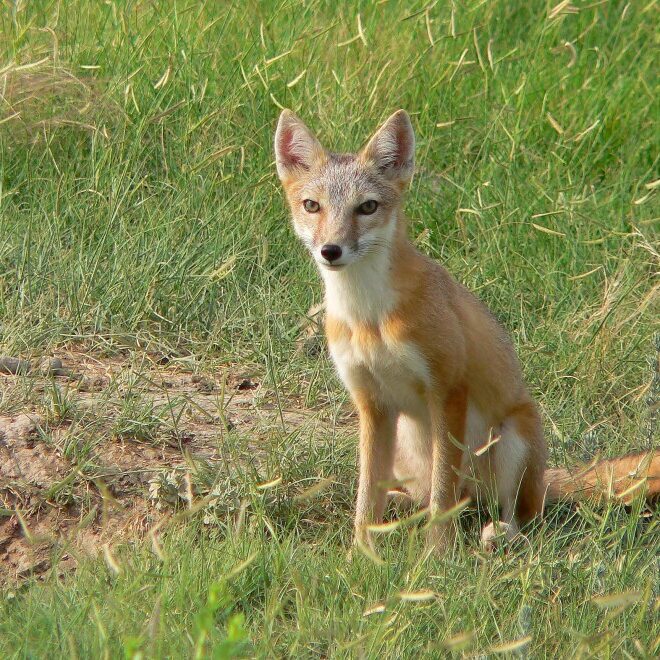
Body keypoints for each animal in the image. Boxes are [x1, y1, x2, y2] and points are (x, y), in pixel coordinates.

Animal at [274, 109, 660, 552]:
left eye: (367, 207)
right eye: (312, 206)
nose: (331, 250)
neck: (369, 317)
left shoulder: (447, 390)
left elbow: (444, 491)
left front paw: (436, 555)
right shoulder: (371, 403)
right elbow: (365, 498)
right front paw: (362, 554)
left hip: (512, 441)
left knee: (512, 513)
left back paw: (499, 533)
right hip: (403, 442)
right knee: (425, 497)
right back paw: (403, 509)